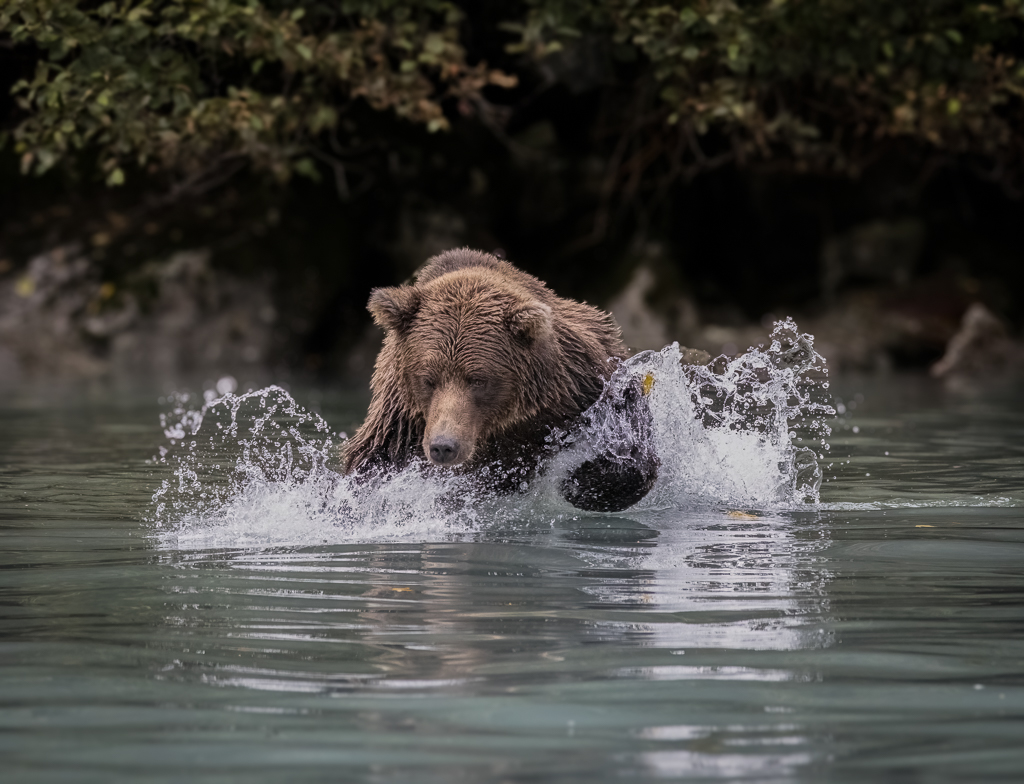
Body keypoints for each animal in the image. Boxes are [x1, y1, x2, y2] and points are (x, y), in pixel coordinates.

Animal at [339, 248, 659, 511]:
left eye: (478, 380)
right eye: (428, 379)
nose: (444, 446)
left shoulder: (580, 383)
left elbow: (630, 440)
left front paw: (580, 481)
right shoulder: (401, 420)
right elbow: (372, 464)